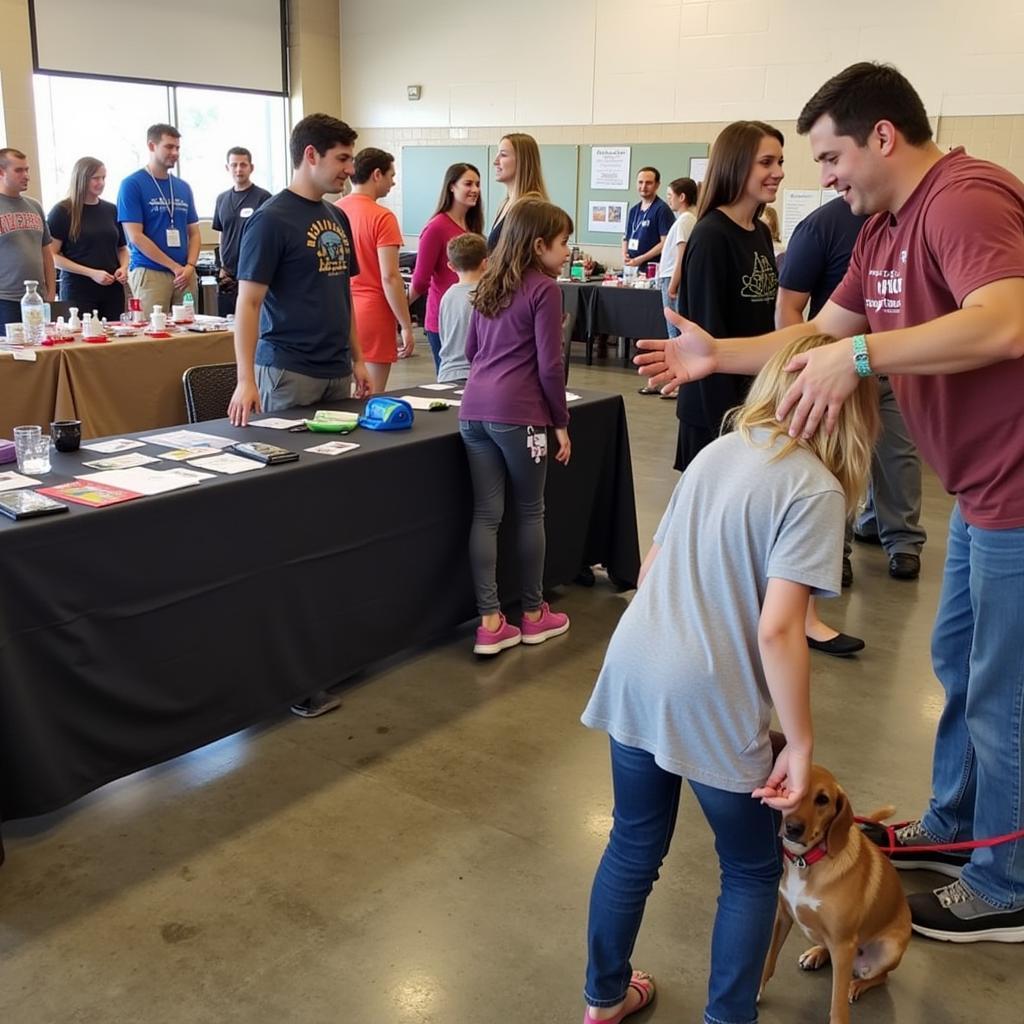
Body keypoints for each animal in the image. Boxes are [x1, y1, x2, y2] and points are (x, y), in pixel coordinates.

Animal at [761, 765, 913, 1019]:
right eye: (789, 787)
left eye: (823, 800)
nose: (793, 828)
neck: (805, 861)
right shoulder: (782, 916)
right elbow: (767, 960)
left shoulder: (843, 945)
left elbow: (838, 1006)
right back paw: (816, 953)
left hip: (888, 950)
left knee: (881, 977)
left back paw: (856, 985)